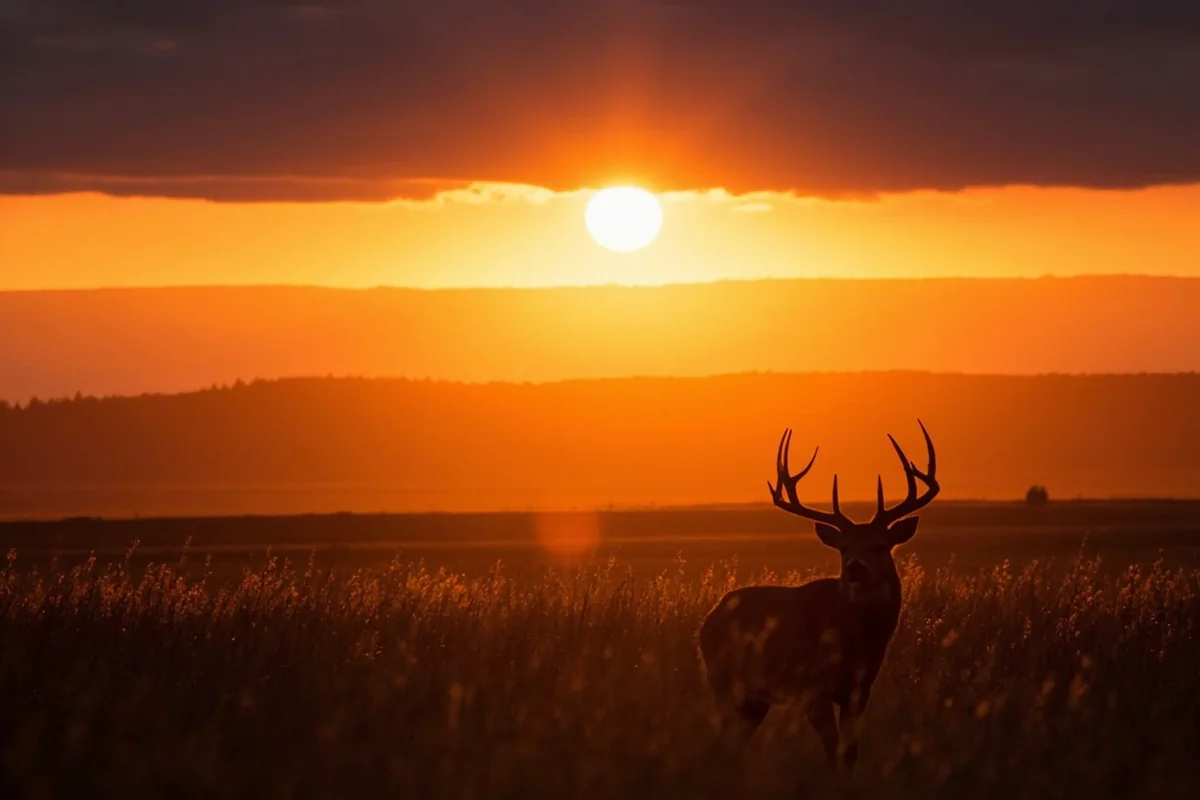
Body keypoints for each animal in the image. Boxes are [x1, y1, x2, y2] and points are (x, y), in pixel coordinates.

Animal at [698, 421, 939, 772]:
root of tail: (707, 622)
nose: (855, 568)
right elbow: (832, 748)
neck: (857, 640)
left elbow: (850, 751)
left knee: (732, 741)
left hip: (753, 700)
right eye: (843, 548)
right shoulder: (813, 689)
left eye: (879, 545)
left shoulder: (859, 690)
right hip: (725, 683)